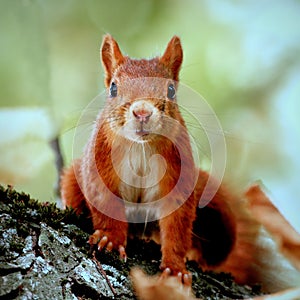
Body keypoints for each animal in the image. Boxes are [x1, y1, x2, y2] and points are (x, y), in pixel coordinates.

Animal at [59, 35, 298, 290]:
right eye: (113, 87)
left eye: (171, 90)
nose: (142, 113)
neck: (141, 147)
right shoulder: (98, 167)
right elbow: (106, 205)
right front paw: (111, 239)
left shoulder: (178, 177)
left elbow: (177, 226)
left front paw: (175, 268)